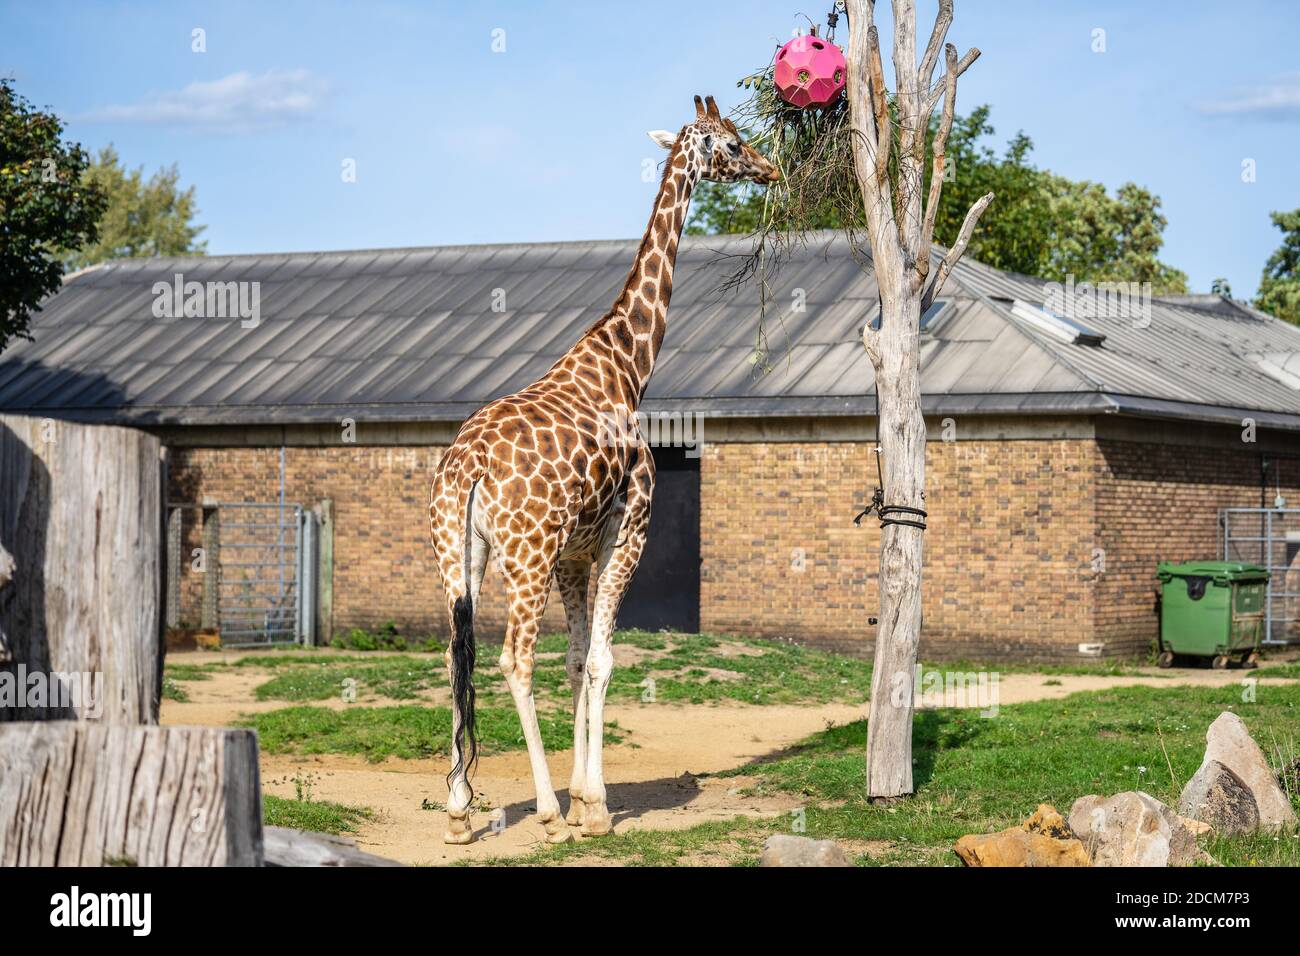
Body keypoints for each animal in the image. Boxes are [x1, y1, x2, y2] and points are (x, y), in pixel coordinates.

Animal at [428, 95, 779, 845]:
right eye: (734, 143)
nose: (770, 168)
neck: (626, 366)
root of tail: (468, 468)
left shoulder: (574, 552)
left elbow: (577, 660)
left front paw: (586, 798)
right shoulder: (627, 532)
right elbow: (602, 660)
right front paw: (591, 807)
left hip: (458, 555)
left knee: (455, 653)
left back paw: (458, 811)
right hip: (524, 554)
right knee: (513, 658)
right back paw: (544, 813)